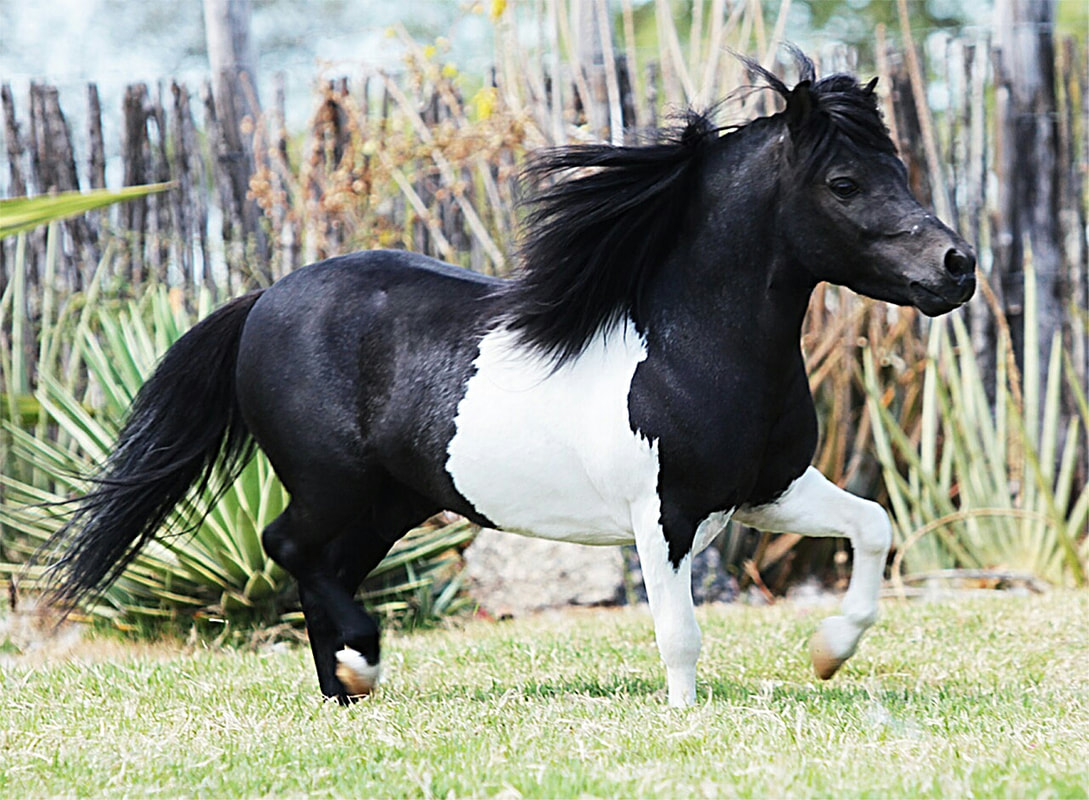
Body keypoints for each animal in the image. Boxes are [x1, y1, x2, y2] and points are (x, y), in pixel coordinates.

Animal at [46, 56, 975, 705]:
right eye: (843, 183)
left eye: (898, 172)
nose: (956, 267)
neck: (691, 348)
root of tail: (266, 299)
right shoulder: (663, 514)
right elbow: (678, 632)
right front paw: (687, 716)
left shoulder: (766, 491)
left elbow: (873, 527)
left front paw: (828, 652)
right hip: (332, 483)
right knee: (289, 549)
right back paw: (360, 666)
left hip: (393, 501)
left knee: (322, 565)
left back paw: (342, 688)